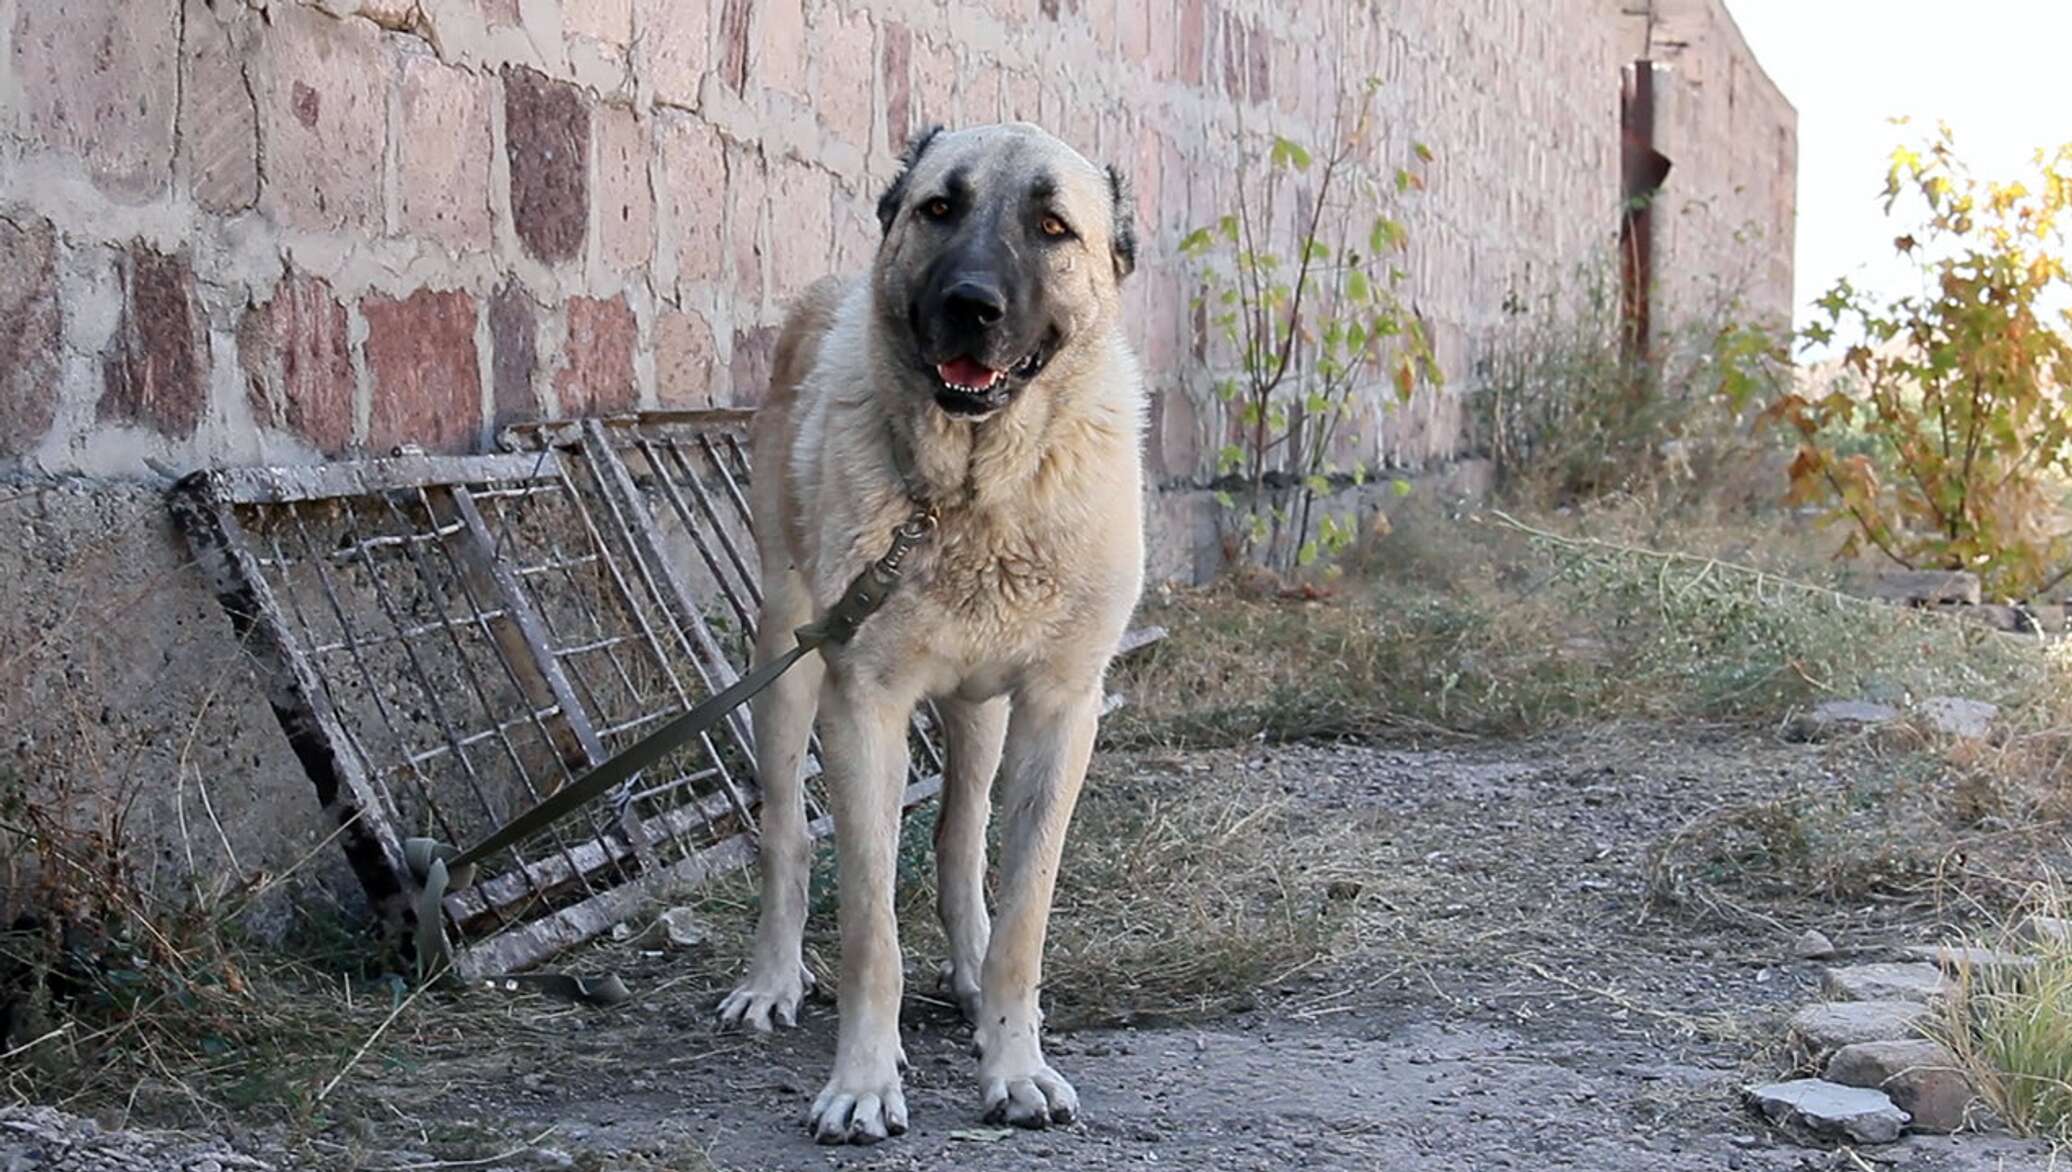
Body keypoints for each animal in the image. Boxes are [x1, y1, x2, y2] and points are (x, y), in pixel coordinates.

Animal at [716, 126, 1152, 1151]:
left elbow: (1024, 912)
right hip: (784, 665)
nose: (969, 307)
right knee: (786, 836)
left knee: (961, 842)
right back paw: (771, 978)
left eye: (1052, 226)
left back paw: (972, 976)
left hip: (980, 713)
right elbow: (870, 928)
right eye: (939, 209)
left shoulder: (1059, 711)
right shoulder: (862, 706)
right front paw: (863, 1083)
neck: (973, 494)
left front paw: (1015, 1062)